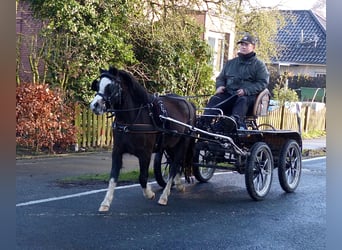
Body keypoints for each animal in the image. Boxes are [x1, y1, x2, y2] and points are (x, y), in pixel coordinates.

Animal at [89, 66, 196, 211]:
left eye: (110, 86)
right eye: (97, 85)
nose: (94, 105)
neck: (133, 119)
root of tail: (188, 103)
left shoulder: (145, 154)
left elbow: (143, 178)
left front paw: (150, 194)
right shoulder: (117, 151)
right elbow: (113, 177)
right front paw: (106, 202)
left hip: (182, 143)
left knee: (174, 167)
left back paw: (164, 196)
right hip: (170, 145)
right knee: (176, 163)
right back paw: (178, 185)